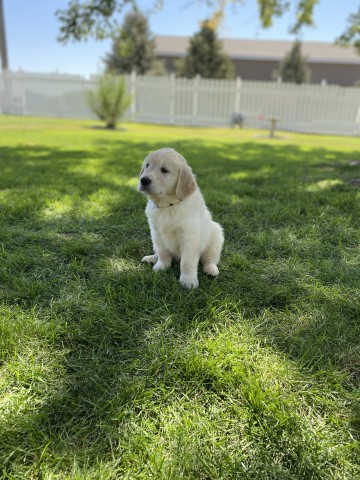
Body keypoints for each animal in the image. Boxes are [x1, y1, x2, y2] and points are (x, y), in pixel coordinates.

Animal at [137, 147, 222, 288]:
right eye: (147, 166)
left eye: (164, 170)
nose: (143, 180)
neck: (167, 205)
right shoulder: (156, 233)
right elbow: (163, 253)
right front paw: (161, 266)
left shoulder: (189, 237)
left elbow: (187, 261)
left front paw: (188, 281)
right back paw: (152, 258)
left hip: (216, 236)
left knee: (209, 259)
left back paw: (211, 270)